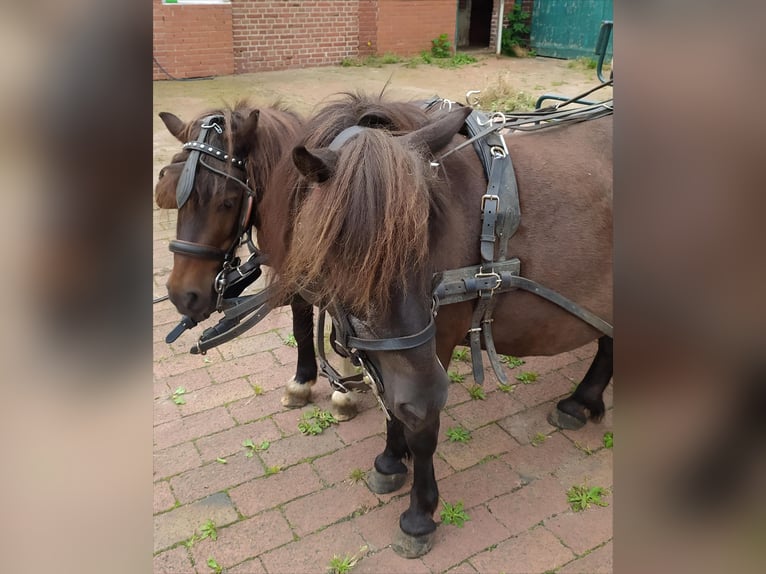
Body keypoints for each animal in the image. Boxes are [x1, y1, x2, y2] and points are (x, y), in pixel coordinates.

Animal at [268, 98, 616, 560]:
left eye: (426, 239)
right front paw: (390, 460)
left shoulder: (437, 342)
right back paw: (581, 401)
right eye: (344, 255)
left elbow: (421, 428)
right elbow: (393, 402)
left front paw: (419, 514)